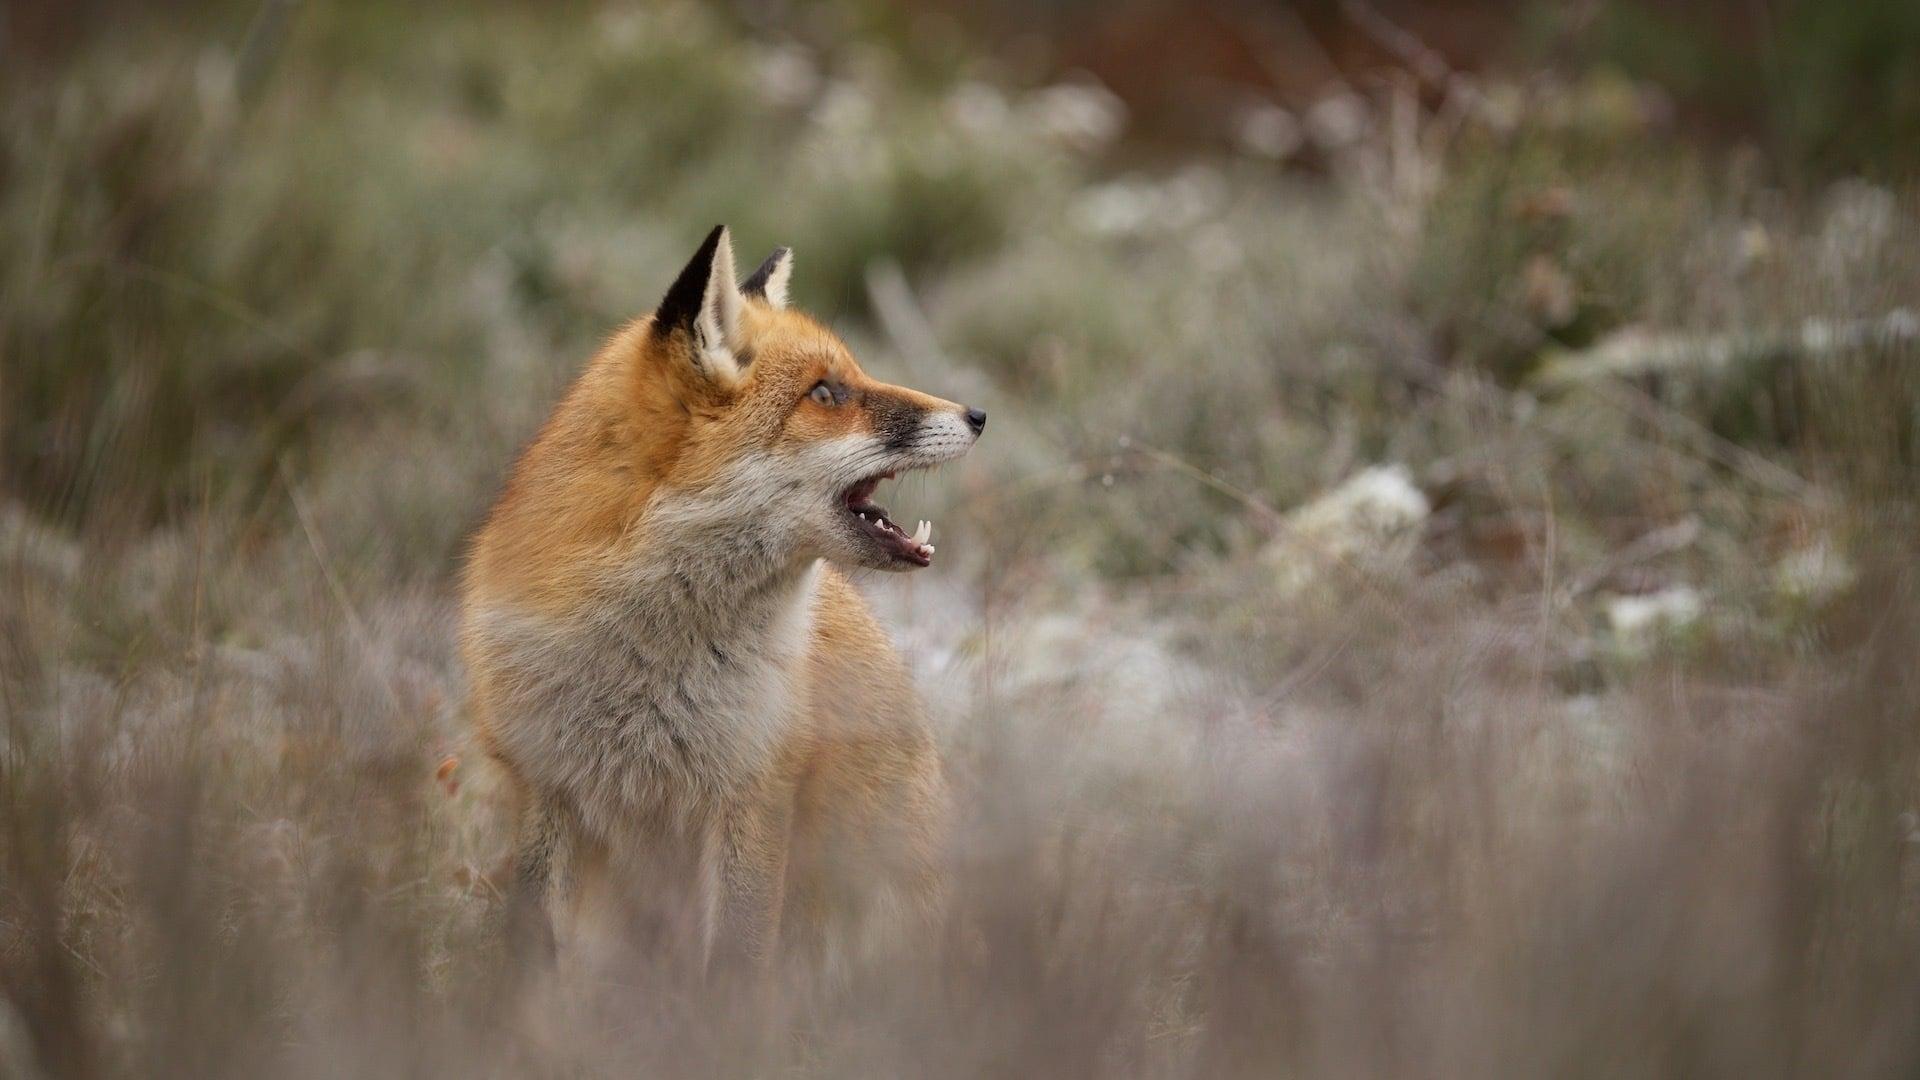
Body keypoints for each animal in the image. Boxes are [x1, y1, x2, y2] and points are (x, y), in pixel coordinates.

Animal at [456, 222, 983, 972]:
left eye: (853, 376)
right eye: (826, 394)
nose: (978, 414)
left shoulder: (753, 790)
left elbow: (735, 967)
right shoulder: (540, 785)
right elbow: (531, 957)